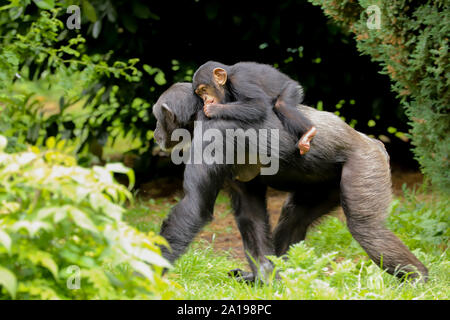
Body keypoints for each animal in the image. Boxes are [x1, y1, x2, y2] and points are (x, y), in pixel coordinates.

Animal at [152, 82, 428, 282]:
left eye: (158, 117)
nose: (155, 133)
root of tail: (373, 142)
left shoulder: (214, 135)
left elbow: (194, 207)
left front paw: (147, 272)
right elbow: (250, 212)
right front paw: (263, 277)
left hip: (366, 165)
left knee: (366, 228)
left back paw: (417, 278)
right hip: (325, 185)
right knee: (293, 219)